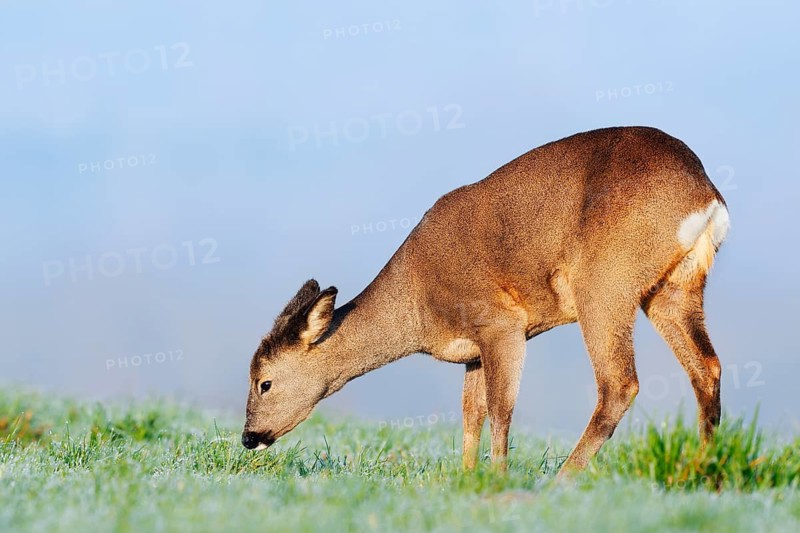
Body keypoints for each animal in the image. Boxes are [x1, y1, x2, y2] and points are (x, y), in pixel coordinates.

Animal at [241, 126, 730, 477]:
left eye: (264, 382)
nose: (248, 437)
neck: (418, 305)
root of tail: (705, 194)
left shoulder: (501, 322)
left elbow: (500, 408)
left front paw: (496, 478)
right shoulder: (473, 350)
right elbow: (470, 414)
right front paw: (466, 476)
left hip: (605, 282)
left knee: (620, 383)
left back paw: (562, 479)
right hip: (674, 288)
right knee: (706, 366)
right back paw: (703, 468)